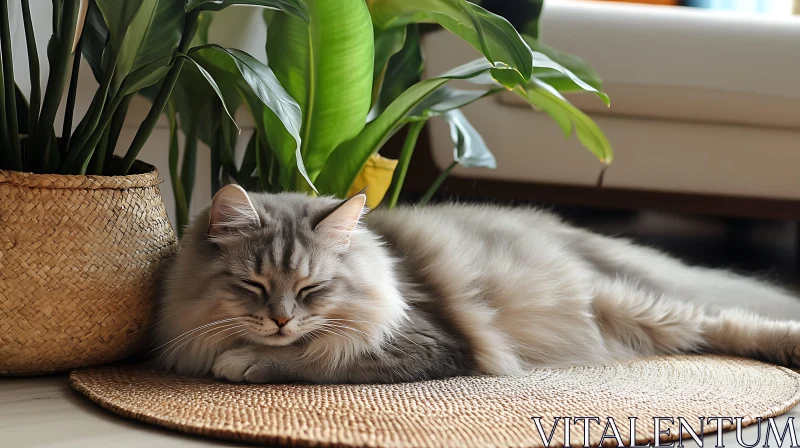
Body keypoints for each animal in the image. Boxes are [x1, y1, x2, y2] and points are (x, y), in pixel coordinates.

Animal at [155, 184, 800, 384]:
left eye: (311, 290)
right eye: (255, 286)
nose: (282, 318)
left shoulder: (427, 343)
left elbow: (318, 358)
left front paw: (246, 359)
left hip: (629, 306)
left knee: (722, 322)